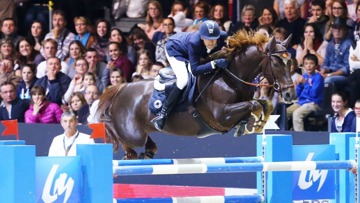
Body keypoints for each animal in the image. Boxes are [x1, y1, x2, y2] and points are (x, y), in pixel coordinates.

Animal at [96, 31, 296, 159]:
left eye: (291, 62)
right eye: (277, 63)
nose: (290, 95)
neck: (231, 77)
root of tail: (120, 88)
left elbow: (265, 104)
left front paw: (254, 125)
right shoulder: (222, 115)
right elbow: (254, 105)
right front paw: (252, 125)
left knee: (145, 146)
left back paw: (145, 153)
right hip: (133, 134)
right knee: (118, 135)